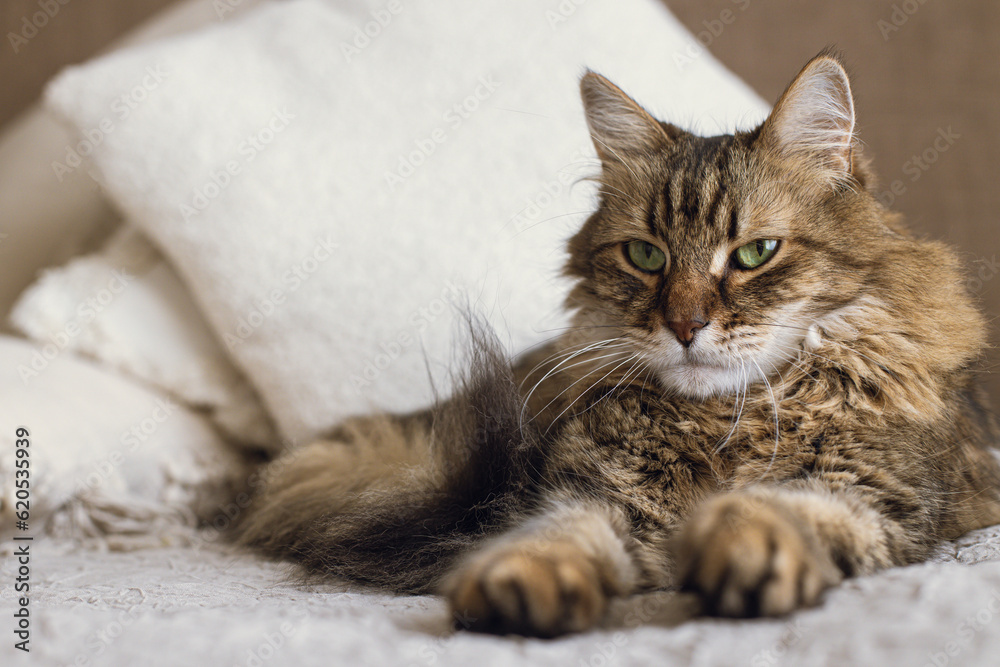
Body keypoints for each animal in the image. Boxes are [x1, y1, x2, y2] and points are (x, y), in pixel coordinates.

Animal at [238, 52, 1000, 636]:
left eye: (755, 253)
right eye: (645, 255)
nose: (686, 326)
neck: (726, 422)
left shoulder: (873, 492)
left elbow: (773, 506)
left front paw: (744, 549)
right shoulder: (589, 490)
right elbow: (557, 535)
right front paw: (521, 584)